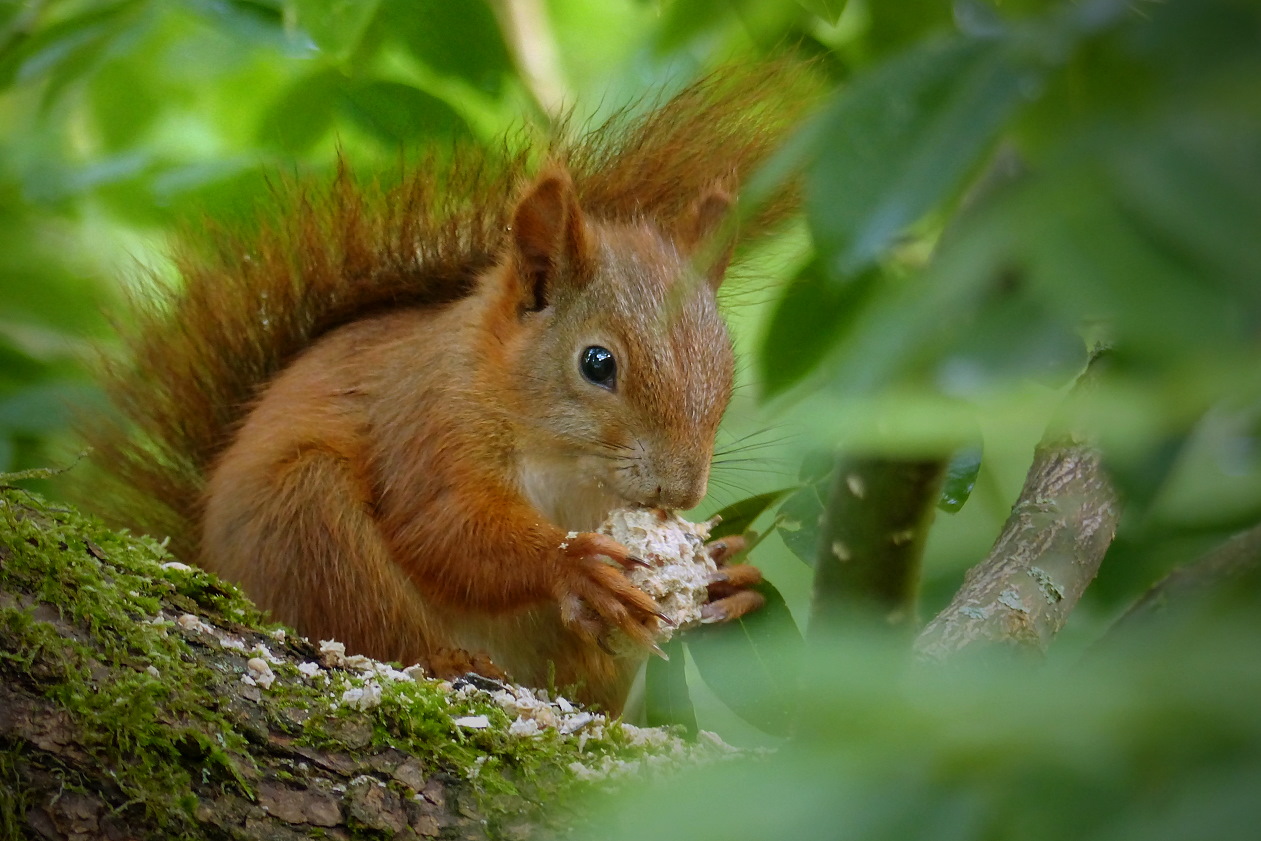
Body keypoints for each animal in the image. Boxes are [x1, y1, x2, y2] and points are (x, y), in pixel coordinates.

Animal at [84, 64, 811, 713]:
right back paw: (449, 659)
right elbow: (442, 528)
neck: (565, 462)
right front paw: (570, 564)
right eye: (597, 363)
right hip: (304, 524)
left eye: (726, 364)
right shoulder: (429, 420)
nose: (680, 491)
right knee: (370, 618)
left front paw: (729, 574)